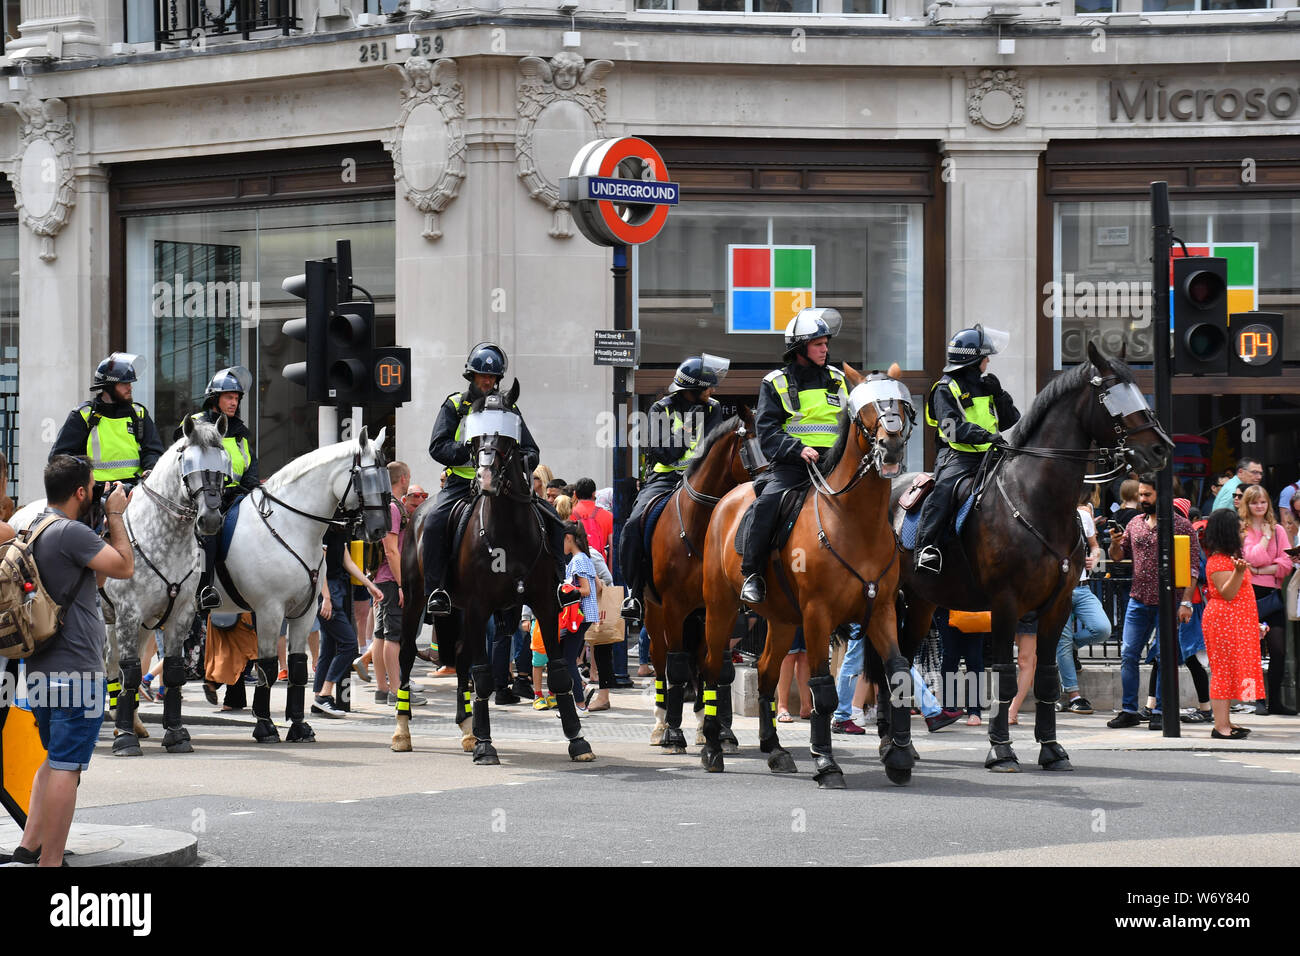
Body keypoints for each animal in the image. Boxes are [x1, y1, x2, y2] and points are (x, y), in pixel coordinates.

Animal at [10, 416, 231, 754]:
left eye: (223, 465)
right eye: (188, 462)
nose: (210, 519)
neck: (162, 536)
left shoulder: (178, 614)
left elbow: (172, 671)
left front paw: (175, 733)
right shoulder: (128, 613)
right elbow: (131, 672)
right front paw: (125, 739)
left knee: (111, 665)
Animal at [208, 426, 387, 749]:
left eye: (385, 475)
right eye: (365, 477)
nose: (380, 529)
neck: (288, 525)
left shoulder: (305, 611)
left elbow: (299, 666)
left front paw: (300, 726)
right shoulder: (269, 611)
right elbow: (267, 667)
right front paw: (265, 726)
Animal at [390, 382, 595, 764]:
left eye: (508, 437)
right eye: (474, 438)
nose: (484, 478)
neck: (508, 532)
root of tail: (417, 514)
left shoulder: (544, 604)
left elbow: (560, 672)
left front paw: (577, 739)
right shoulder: (479, 606)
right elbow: (484, 677)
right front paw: (486, 745)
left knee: (460, 659)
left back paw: (466, 728)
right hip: (415, 600)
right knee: (407, 654)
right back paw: (402, 731)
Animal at [644, 408, 764, 749]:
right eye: (749, 446)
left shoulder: (722, 608)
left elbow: (718, 667)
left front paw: (718, 729)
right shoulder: (673, 608)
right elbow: (676, 666)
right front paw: (673, 733)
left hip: (698, 616)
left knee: (699, 659)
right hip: (654, 612)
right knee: (661, 659)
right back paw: (661, 723)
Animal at [702, 361, 915, 790]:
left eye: (900, 403)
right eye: (867, 409)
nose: (891, 446)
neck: (854, 522)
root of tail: (728, 500)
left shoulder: (882, 610)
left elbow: (898, 673)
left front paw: (899, 756)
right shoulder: (818, 616)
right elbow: (824, 691)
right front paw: (826, 763)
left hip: (783, 621)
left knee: (767, 673)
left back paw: (775, 749)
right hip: (721, 609)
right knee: (715, 670)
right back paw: (713, 748)